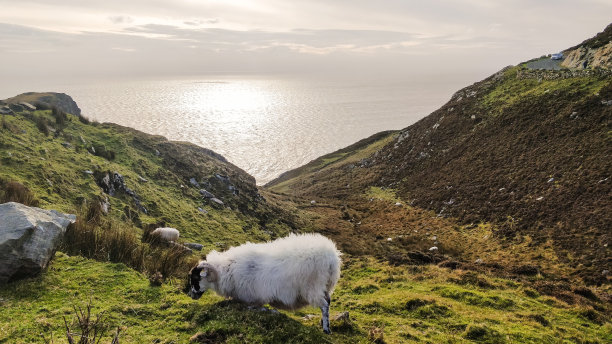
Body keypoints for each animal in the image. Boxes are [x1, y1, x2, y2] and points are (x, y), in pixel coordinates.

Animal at [188, 231, 340, 334]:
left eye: (195, 278)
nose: (191, 295)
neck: (225, 270)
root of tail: (331, 258)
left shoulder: (251, 295)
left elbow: (253, 306)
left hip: (313, 286)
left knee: (324, 306)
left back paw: (326, 329)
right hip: (326, 285)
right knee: (328, 301)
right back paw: (323, 322)